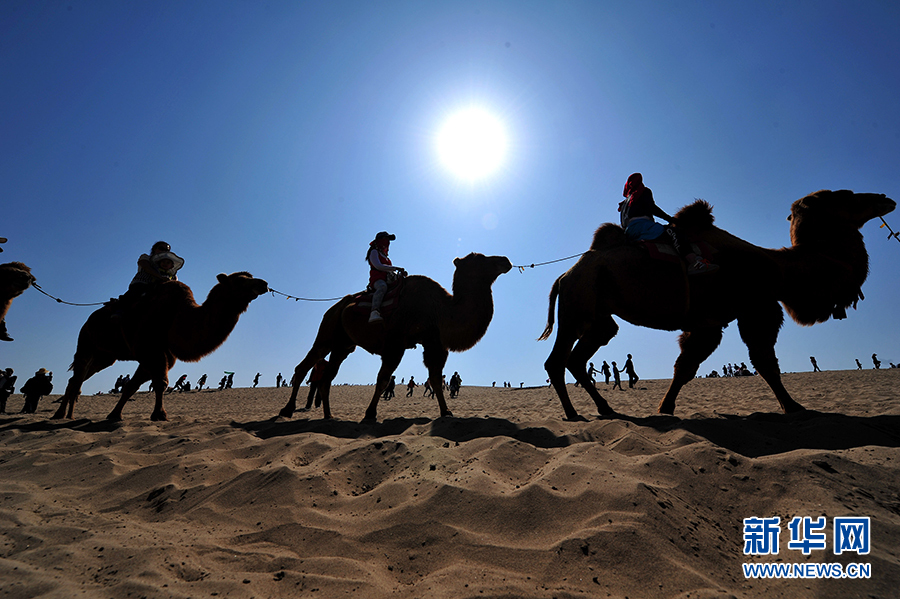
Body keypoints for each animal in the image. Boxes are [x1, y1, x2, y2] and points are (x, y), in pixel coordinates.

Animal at [52, 272, 268, 422]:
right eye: (240, 280)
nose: (263, 284)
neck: (177, 317)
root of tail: (89, 319)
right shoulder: (148, 348)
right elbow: (160, 382)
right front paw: (159, 415)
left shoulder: (161, 354)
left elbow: (133, 385)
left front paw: (115, 415)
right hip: (85, 342)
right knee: (77, 376)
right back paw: (59, 414)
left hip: (104, 356)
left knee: (79, 378)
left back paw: (68, 415)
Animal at [274, 253, 512, 422]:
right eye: (479, 258)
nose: (505, 260)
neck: (441, 310)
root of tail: (336, 307)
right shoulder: (396, 343)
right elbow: (383, 378)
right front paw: (370, 414)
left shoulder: (434, 343)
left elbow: (435, 378)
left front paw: (446, 412)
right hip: (327, 332)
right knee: (304, 366)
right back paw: (286, 410)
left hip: (343, 345)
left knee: (327, 376)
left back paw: (329, 416)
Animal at [536, 190, 896, 420]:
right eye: (844, 196)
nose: (885, 198)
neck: (778, 269)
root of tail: (563, 275)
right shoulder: (757, 307)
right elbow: (764, 362)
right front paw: (794, 407)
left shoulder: (708, 322)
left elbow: (686, 366)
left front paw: (665, 409)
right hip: (577, 306)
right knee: (557, 361)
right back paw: (573, 414)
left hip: (599, 317)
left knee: (578, 358)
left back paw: (606, 409)